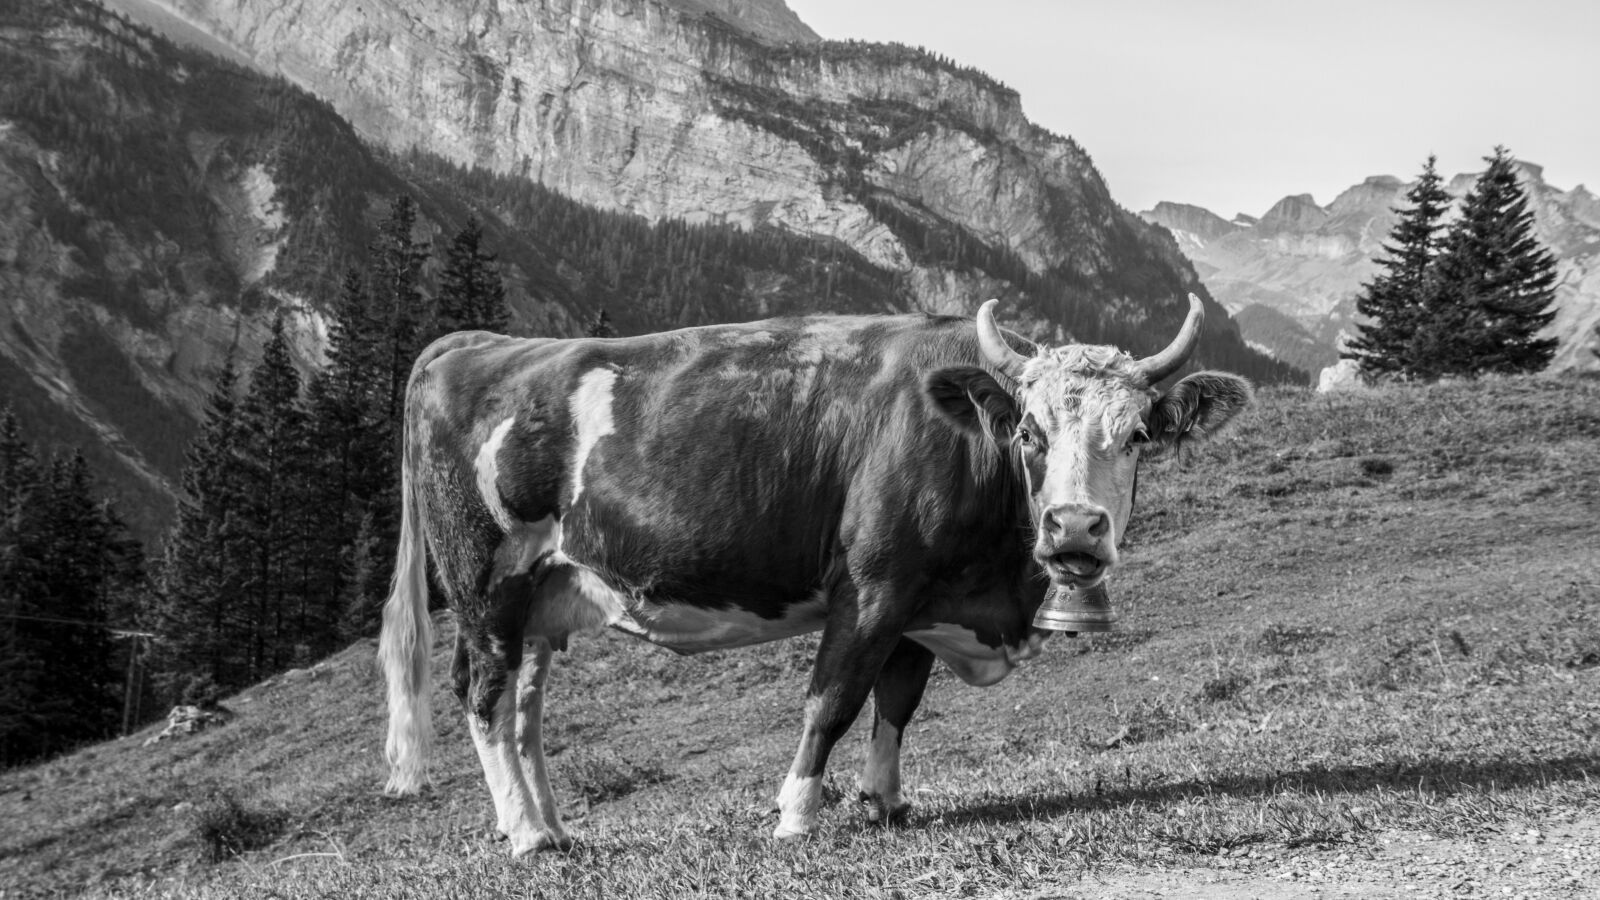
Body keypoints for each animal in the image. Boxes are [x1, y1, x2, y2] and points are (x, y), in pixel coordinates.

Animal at [379, 295, 1251, 854]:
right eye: (1030, 431)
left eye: (1137, 434)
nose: (1073, 527)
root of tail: (478, 345)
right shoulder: (871, 587)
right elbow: (832, 701)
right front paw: (797, 816)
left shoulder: (920, 604)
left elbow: (897, 704)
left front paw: (886, 802)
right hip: (487, 582)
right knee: (484, 699)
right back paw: (527, 836)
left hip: (545, 596)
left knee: (523, 708)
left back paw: (552, 829)